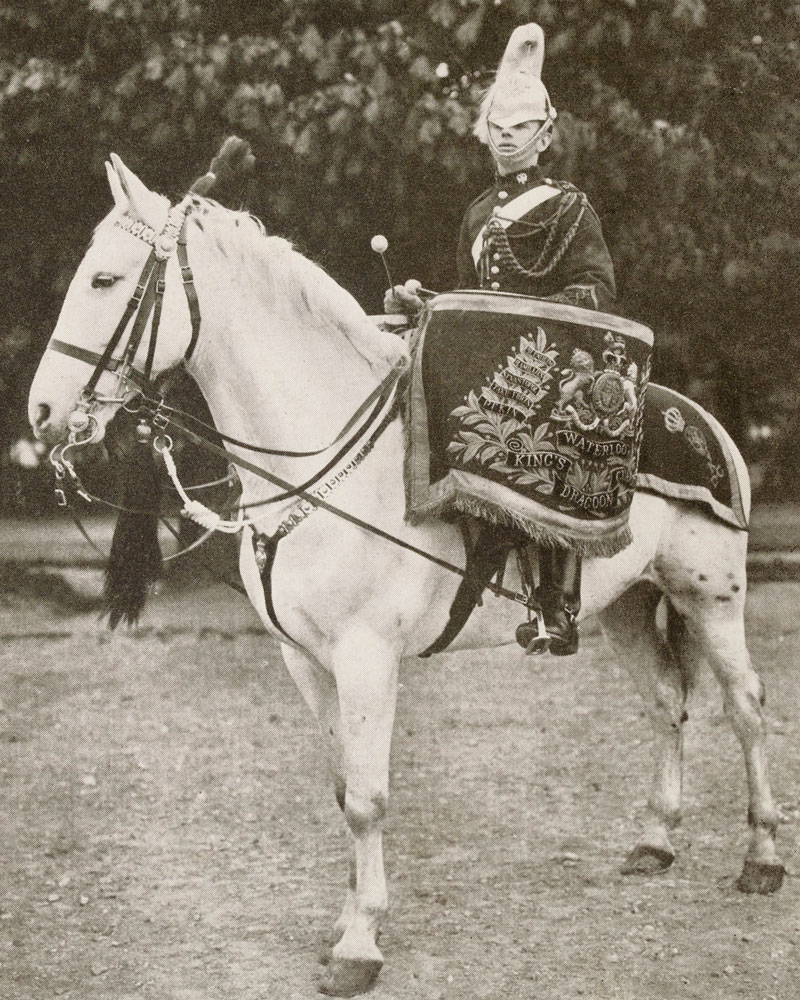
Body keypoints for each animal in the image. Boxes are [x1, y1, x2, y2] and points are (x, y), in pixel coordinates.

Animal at [29, 154, 780, 992]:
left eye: (106, 279)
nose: (42, 414)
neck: (323, 458)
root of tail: (708, 423)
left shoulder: (366, 655)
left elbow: (367, 798)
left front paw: (360, 947)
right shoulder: (304, 657)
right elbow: (341, 786)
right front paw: (346, 920)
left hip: (711, 599)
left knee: (746, 709)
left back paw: (762, 857)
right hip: (624, 603)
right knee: (666, 702)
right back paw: (655, 841)